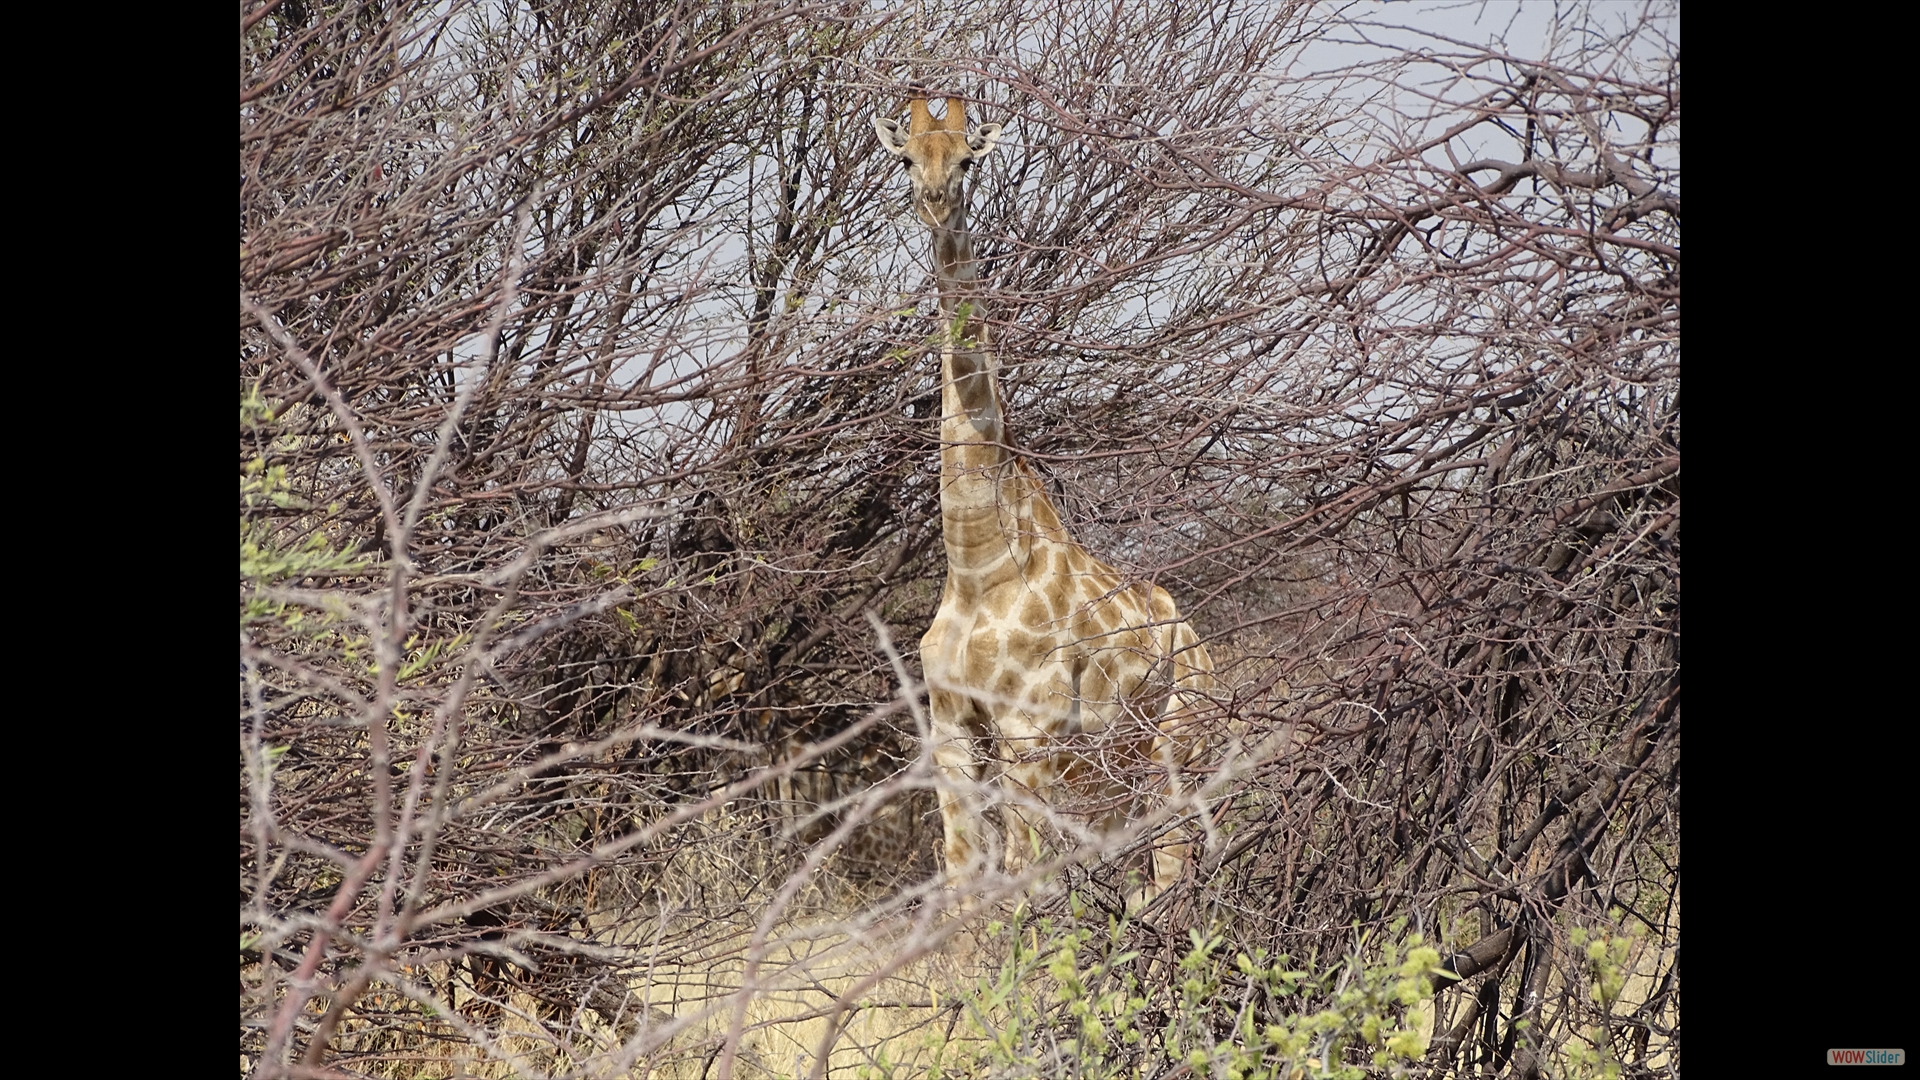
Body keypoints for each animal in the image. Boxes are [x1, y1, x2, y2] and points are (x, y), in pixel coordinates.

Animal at [871, 94, 1213, 899]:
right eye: (907, 157)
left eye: (969, 159)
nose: (936, 203)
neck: (978, 562)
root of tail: (1199, 640)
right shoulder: (951, 726)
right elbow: (964, 881)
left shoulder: (1028, 728)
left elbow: (1026, 884)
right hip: (1113, 766)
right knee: (1146, 879)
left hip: (1174, 748)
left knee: (1170, 873)